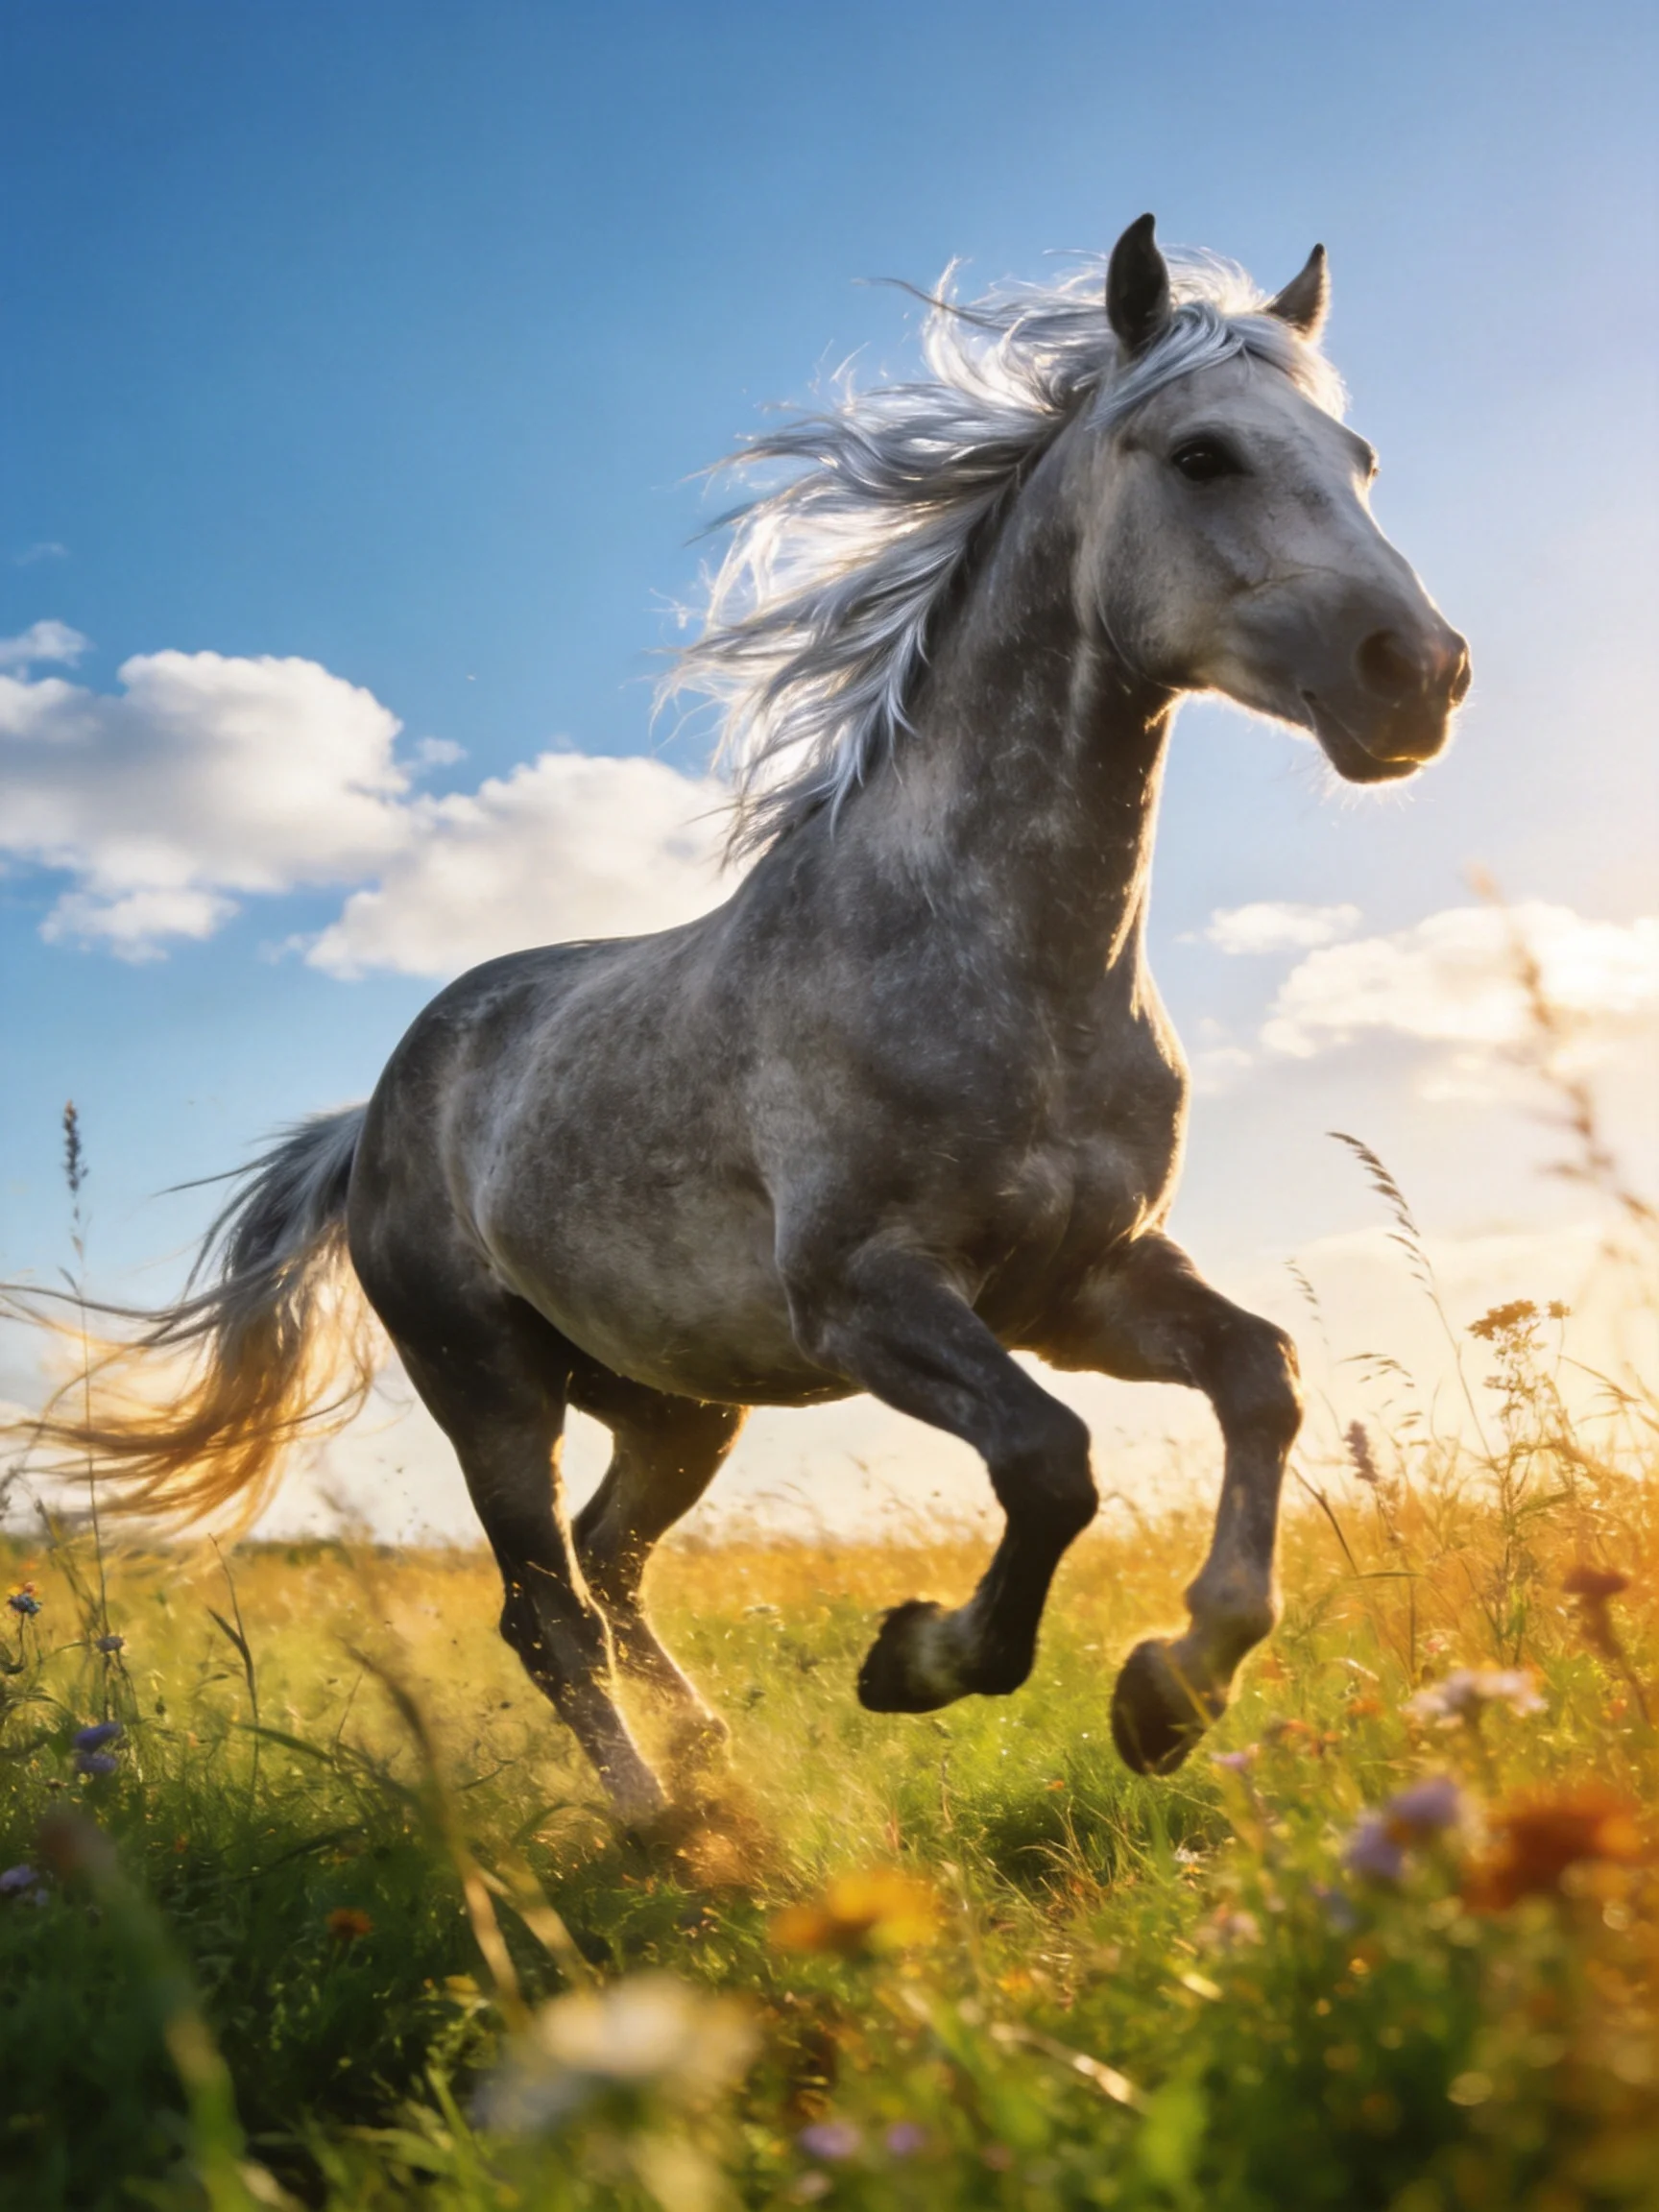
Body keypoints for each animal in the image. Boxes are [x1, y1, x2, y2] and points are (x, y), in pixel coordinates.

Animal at [28, 216, 1468, 1821]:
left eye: (1359, 458)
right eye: (1205, 454)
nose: (1419, 676)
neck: (1007, 969)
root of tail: (374, 1113)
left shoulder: (1083, 1281)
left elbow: (1260, 1380)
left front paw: (1170, 1690)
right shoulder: (871, 1296)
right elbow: (1052, 1459)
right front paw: (923, 1661)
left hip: (676, 1405)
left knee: (610, 1564)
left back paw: (713, 1770)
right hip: (492, 1394)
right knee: (546, 1608)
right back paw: (666, 1829)